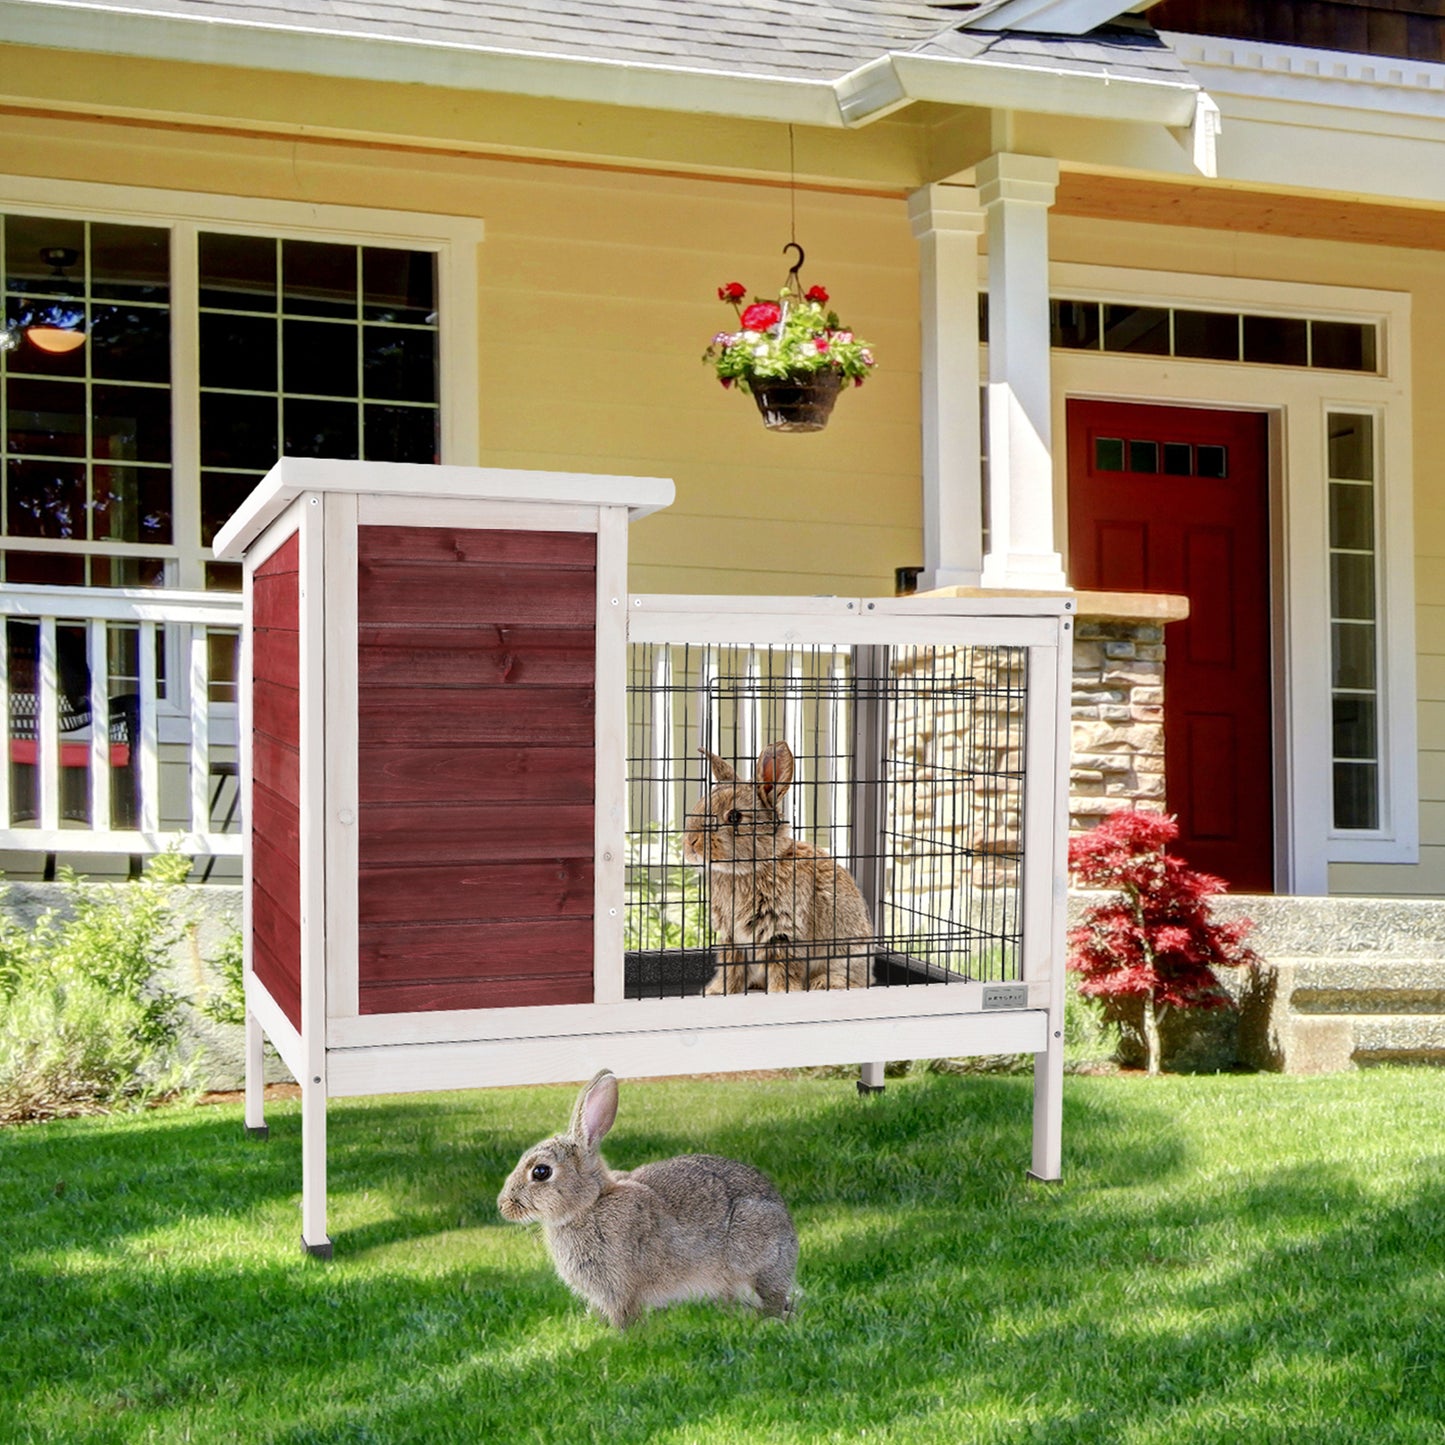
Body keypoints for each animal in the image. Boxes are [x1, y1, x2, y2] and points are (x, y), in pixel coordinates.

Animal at [494, 1069, 791, 1323]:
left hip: (754, 1251)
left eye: (541, 1172)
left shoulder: (618, 1286)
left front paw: (618, 1336)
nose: (503, 1206)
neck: (590, 1205)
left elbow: (623, 1315)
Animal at [682, 745, 872, 994]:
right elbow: (732, 969)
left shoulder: (782, 932)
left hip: (846, 956)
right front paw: (719, 991)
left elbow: (782, 967)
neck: (750, 868)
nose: (691, 843)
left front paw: (780, 991)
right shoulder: (733, 938)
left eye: (734, 816)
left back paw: (823, 983)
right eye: (699, 805)